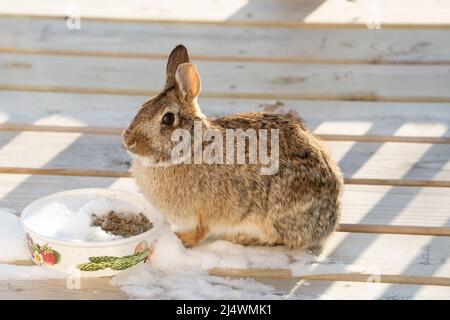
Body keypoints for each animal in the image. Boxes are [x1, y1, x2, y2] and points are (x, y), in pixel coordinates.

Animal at [121, 44, 342, 250]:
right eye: (144, 105)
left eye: (168, 119)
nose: (128, 140)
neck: (193, 148)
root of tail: (332, 218)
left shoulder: (208, 211)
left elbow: (201, 230)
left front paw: (182, 239)